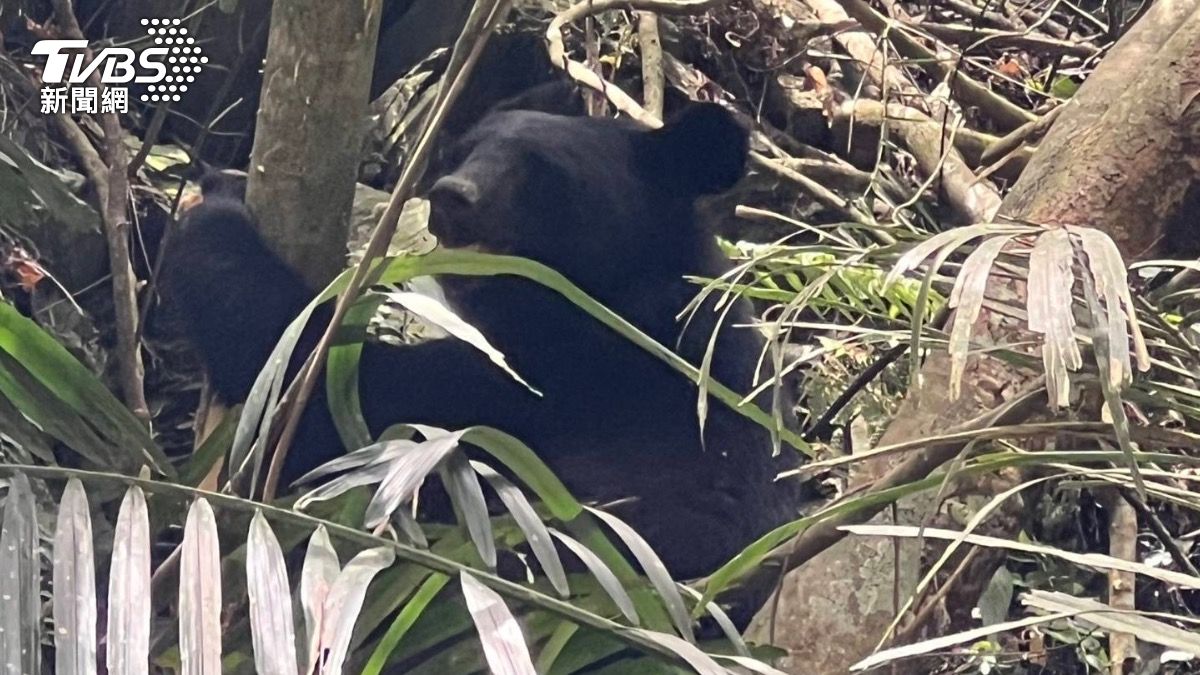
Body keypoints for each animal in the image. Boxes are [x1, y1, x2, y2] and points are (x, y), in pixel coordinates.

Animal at [162, 85, 806, 584]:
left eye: (543, 173)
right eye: (464, 149)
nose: (452, 196)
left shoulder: (563, 382)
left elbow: (313, 383)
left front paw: (218, 196)